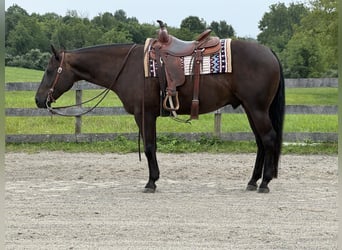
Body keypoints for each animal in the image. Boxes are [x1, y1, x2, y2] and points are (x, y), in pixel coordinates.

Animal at [36, 39, 284, 192]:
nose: (38, 100)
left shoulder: (144, 115)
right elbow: (152, 146)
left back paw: (264, 183)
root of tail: (269, 52)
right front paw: (153, 179)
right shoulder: (149, 116)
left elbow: (148, 147)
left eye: (49, 71)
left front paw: (150, 182)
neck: (129, 67)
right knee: (260, 143)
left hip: (257, 108)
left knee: (268, 139)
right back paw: (253, 181)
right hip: (251, 109)